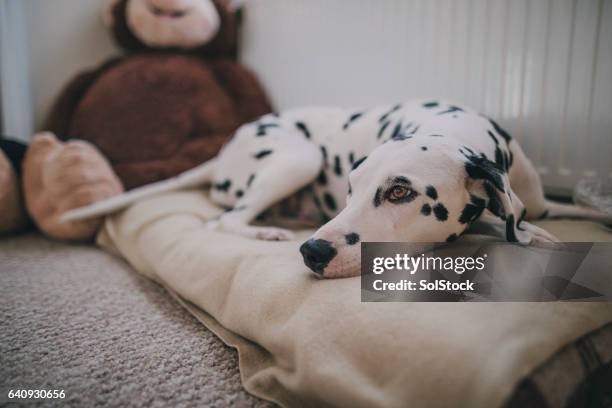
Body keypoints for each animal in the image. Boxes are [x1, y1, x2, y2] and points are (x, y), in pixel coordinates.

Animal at [59, 99, 608, 278]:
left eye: (400, 192)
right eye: (351, 187)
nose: (313, 251)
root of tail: (229, 144)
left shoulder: (540, 201)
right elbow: (504, 223)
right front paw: (535, 236)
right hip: (299, 158)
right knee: (224, 219)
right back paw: (267, 231)